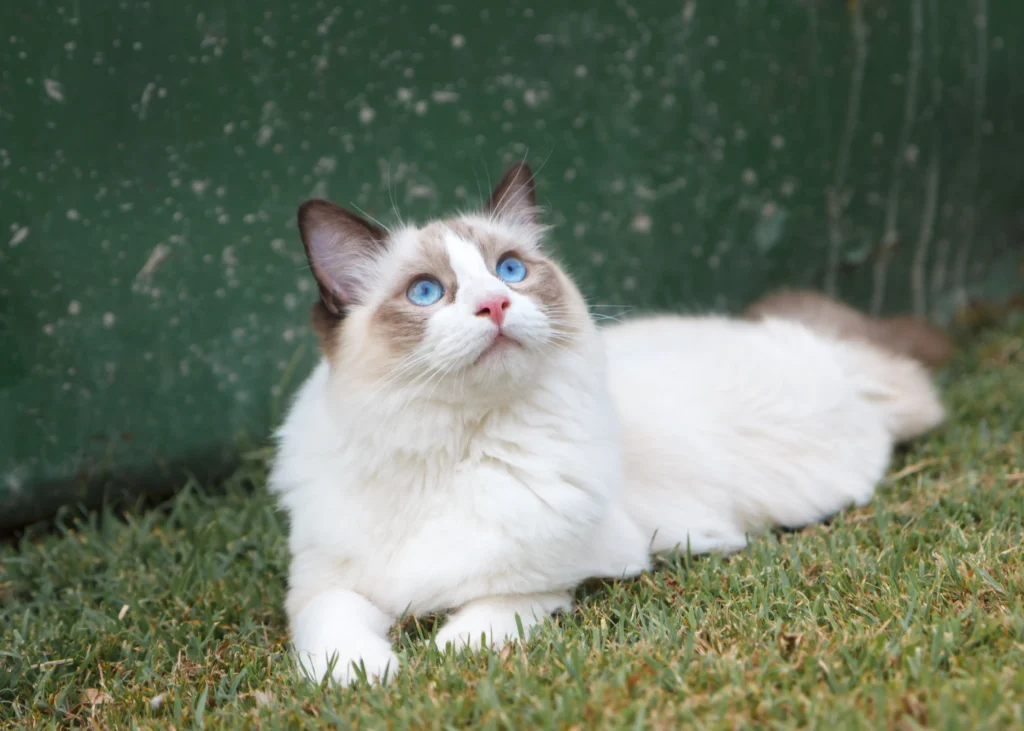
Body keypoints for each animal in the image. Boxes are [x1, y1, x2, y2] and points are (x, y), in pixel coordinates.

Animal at [268, 160, 946, 683]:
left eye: (510, 270)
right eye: (427, 292)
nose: (496, 304)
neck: (451, 446)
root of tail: (830, 350)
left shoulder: (555, 575)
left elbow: (478, 623)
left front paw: (437, 656)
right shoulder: (323, 584)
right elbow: (330, 630)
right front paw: (366, 678)